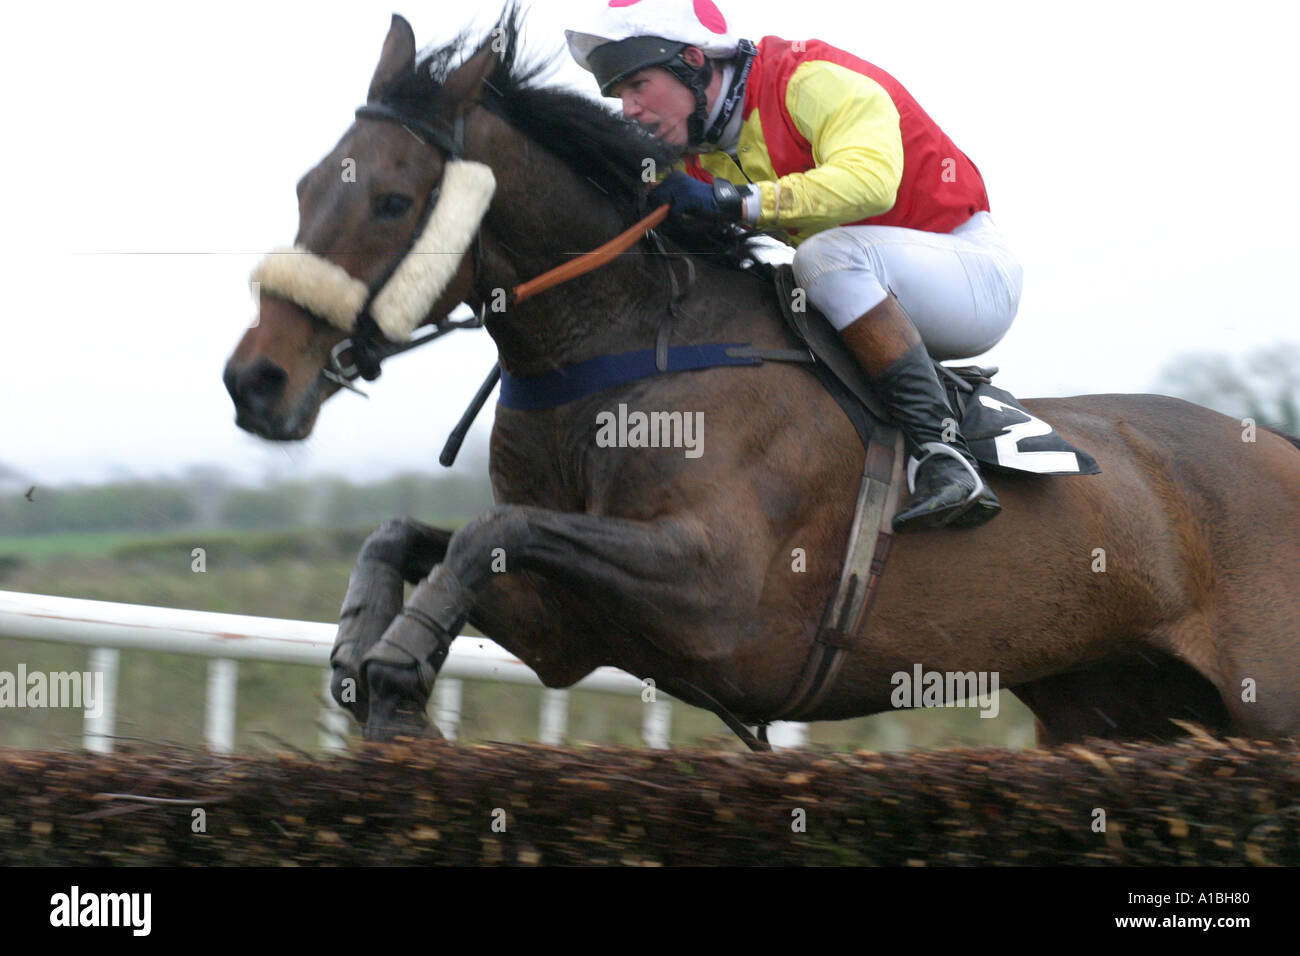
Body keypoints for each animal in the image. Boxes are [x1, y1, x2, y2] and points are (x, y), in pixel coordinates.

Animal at [223, 11, 1300, 749]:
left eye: (392, 199)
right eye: (307, 185)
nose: (256, 381)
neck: (626, 345)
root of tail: (1278, 447)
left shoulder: (718, 593)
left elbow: (498, 528)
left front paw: (399, 662)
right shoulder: (570, 628)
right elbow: (421, 534)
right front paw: (363, 650)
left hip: (1266, 707)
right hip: (1114, 702)